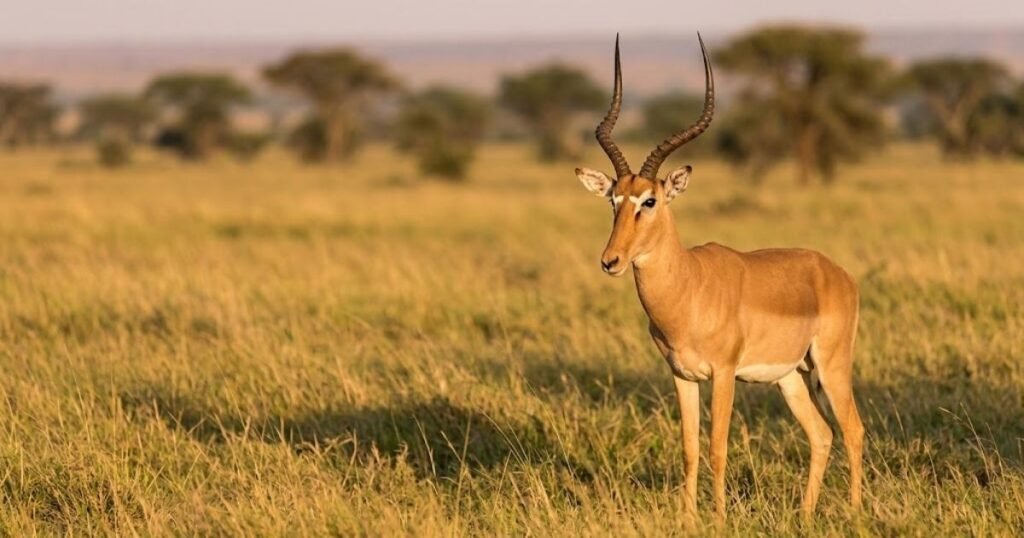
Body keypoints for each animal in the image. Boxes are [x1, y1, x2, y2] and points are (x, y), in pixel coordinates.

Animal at [574, 34, 864, 518]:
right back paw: (805, 513)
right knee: (822, 434)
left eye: (649, 201)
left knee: (853, 429)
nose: (610, 260)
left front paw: (720, 516)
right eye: (613, 200)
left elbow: (717, 446)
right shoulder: (683, 377)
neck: (689, 288)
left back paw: (857, 511)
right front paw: (689, 516)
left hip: (831, 365)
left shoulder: (724, 374)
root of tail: (835, 272)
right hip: (790, 376)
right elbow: (690, 448)